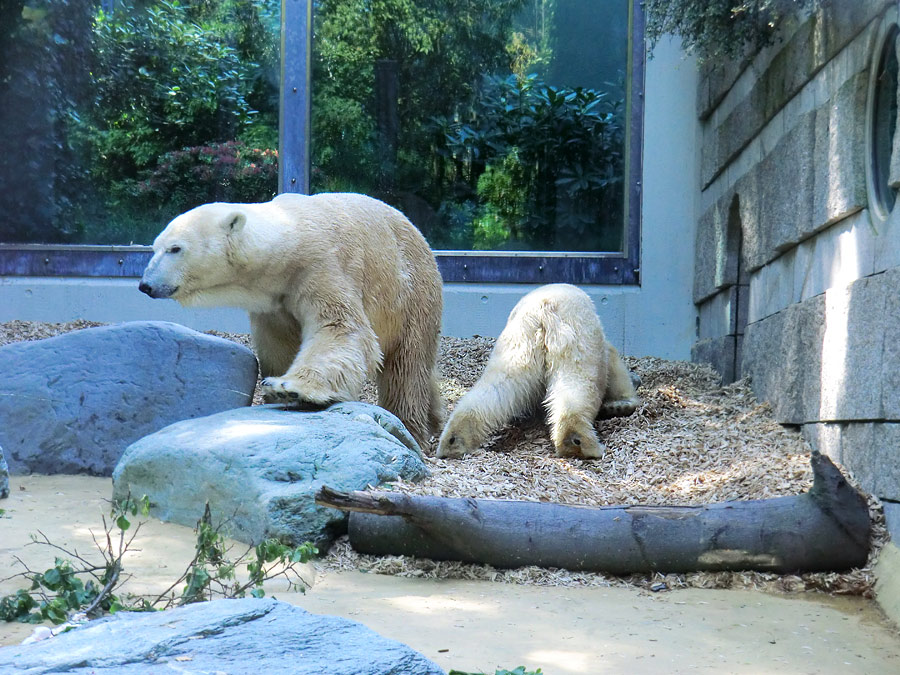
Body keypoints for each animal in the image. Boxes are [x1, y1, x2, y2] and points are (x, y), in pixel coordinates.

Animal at [139, 194, 444, 448]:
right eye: (154, 247)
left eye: (175, 249)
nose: (146, 285)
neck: (286, 242)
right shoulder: (274, 304)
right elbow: (279, 345)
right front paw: (276, 390)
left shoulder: (320, 267)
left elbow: (341, 327)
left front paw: (290, 388)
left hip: (411, 291)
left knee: (407, 365)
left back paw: (409, 424)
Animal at [438, 282, 640, 462]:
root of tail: (544, 309)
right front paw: (622, 403)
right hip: (576, 335)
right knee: (577, 383)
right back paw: (578, 441)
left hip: (517, 344)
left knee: (498, 385)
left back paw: (453, 440)